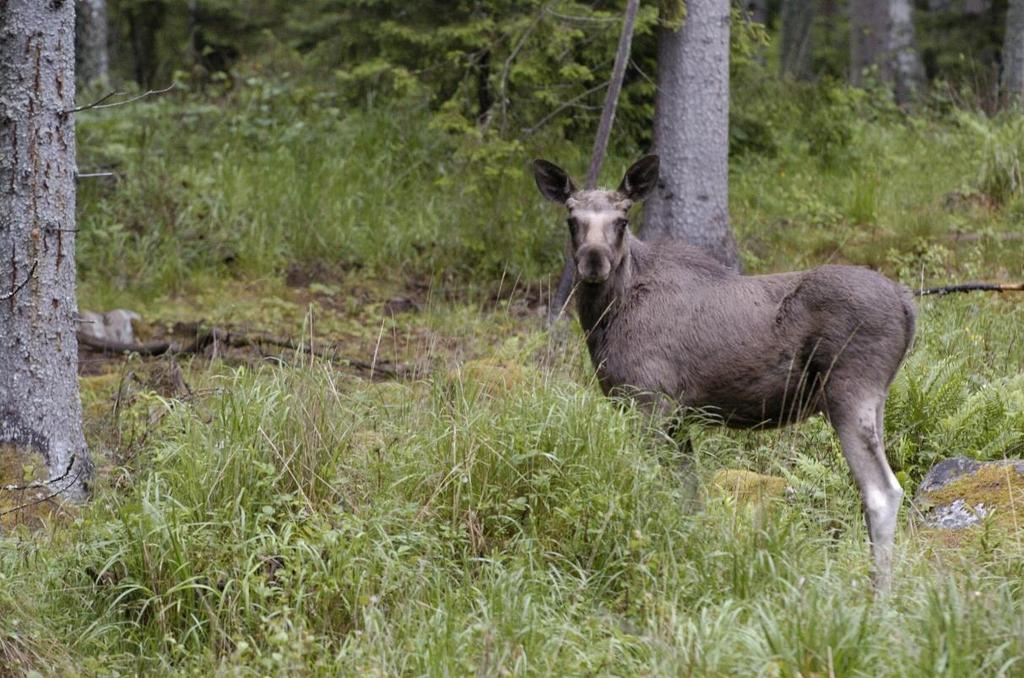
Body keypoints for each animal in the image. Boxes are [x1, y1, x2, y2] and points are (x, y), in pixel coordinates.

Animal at [536, 156, 921, 594]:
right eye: (572, 218)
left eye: (622, 218)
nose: (593, 261)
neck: (604, 320)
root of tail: (907, 305)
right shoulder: (679, 418)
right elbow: (689, 498)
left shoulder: (648, 403)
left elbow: (647, 489)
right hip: (875, 401)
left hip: (848, 393)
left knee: (882, 493)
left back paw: (880, 595)